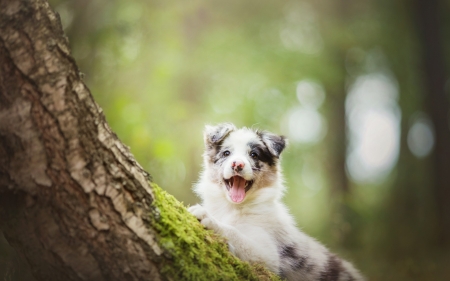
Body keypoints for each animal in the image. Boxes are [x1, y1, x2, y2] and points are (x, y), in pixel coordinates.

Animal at [188, 123, 364, 280]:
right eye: (226, 153)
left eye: (254, 155)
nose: (237, 164)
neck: (232, 207)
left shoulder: (268, 257)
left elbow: (235, 233)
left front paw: (210, 219)